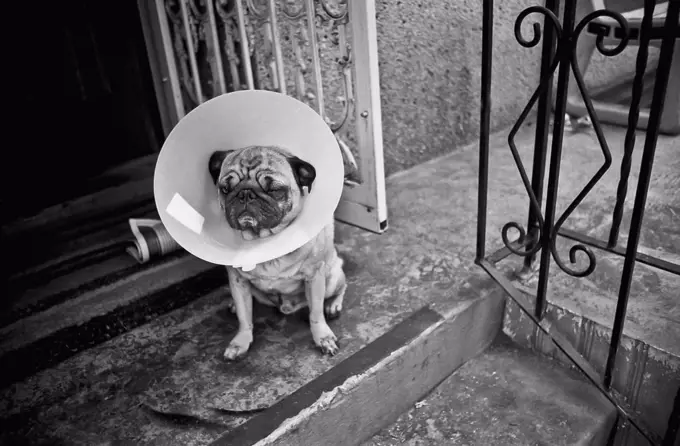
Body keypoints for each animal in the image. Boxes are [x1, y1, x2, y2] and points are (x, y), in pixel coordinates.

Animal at [209, 145, 348, 360]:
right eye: (226, 189)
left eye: (274, 190)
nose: (245, 194)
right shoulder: (237, 281)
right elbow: (244, 317)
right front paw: (241, 341)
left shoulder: (314, 277)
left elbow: (315, 314)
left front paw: (323, 338)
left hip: (332, 278)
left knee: (341, 287)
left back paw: (333, 305)